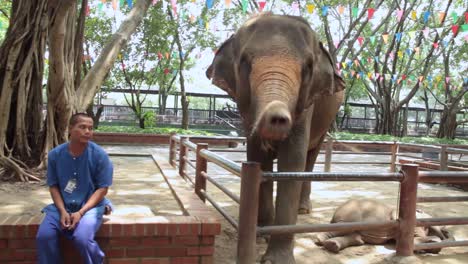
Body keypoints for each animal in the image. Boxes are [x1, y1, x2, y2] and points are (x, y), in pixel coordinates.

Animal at [206, 13, 344, 262]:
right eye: (245, 62)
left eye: (308, 67)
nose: (277, 118)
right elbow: (257, 158)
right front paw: (261, 235)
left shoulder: (307, 105)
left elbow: (292, 161)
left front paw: (275, 259)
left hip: (326, 121)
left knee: (310, 158)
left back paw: (303, 209)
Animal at [314, 199, 454, 253]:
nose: (446, 231)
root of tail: (333, 217)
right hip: (351, 217)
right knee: (346, 229)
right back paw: (324, 241)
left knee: (354, 236)